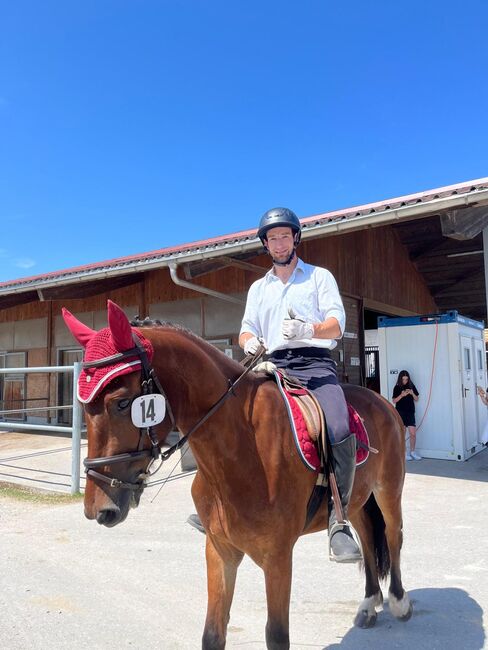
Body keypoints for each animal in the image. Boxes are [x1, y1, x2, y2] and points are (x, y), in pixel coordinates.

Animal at [62, 300, 412, 648]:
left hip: (389, 489)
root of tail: (380, 400)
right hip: (357, 498)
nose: (98, 509)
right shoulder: (220, 550)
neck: (240, 447)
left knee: (393, 534)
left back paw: (398, 601)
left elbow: (276, 635)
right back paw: (368, 603)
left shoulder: (278, 557)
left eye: (121, 404)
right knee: (367, 536)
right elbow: (213, 634)